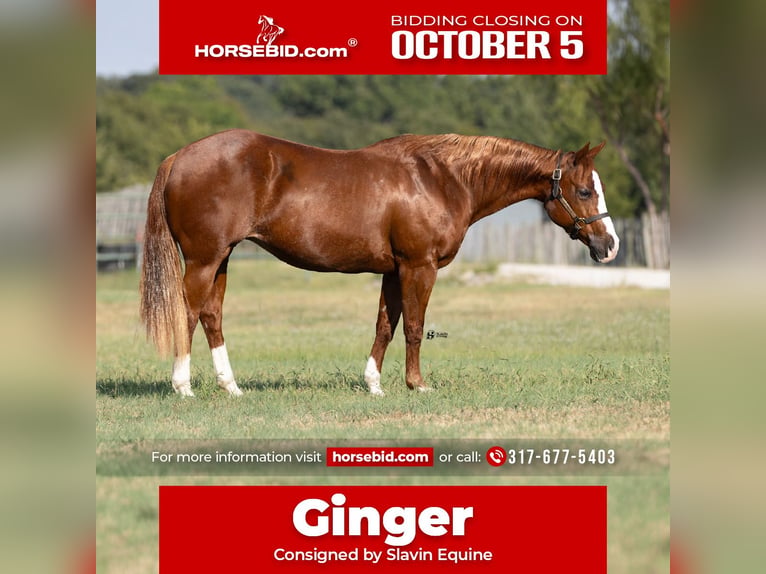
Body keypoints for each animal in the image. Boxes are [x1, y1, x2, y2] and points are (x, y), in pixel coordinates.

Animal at [139, 130, 619, 397]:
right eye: (584, 191)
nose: (610, 245)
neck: (441, 178)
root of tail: (178, 157)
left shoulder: (393, 269)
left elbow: (385, 325)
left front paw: (374, 384)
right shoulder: (419, 266)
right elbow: (413, 327)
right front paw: (417, 385)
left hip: (221, 259)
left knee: (211, 316)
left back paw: (231, 387)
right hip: (204, 259)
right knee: (188, 313)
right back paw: (183, 387)